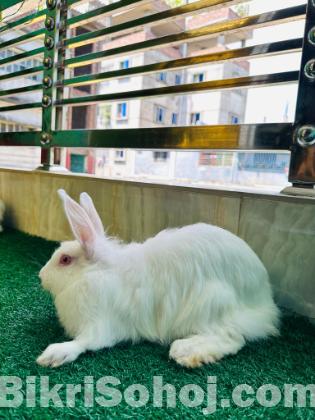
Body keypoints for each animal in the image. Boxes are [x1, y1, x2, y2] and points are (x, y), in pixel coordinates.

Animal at [35, 190, 280, 368]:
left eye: (65, 259)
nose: (41, 276)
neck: (96, 272)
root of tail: (265, 302)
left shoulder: (101, 323)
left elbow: (85, 342)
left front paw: (53, 355)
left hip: (212, 303)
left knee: (234, 338)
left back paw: (186, 352)